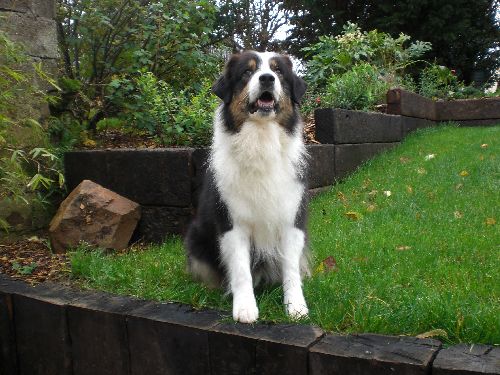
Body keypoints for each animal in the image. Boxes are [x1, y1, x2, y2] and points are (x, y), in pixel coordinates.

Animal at [184, 51, 308, 324]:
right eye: (247, 72)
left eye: (278, 71)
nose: (267, 78)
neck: (261, 139)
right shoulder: (232, 223)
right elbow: (241, 270)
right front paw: (244, 308)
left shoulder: (291, 219)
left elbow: (291, 268)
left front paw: (296, 306)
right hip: (195, 236)